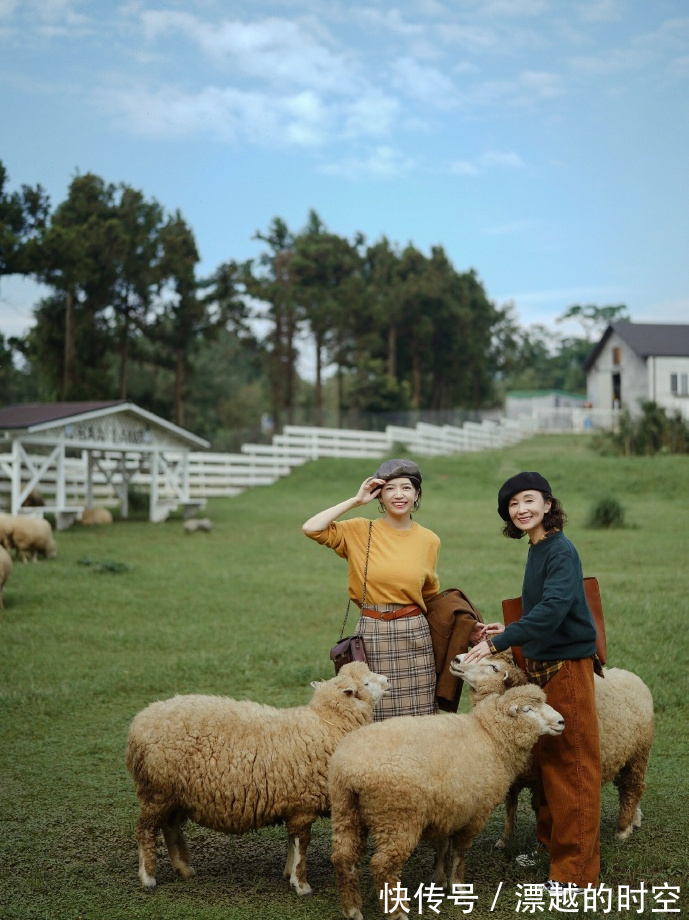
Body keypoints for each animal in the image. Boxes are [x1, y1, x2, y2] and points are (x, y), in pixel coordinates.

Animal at [123, 664, 388, 896]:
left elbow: (292, 842)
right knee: (145, 830)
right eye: (365, 683)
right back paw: (148, 877)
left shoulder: (292, 803)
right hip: (155, 791)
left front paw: (288, 874)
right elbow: (302, 844)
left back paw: (184, 869)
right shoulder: (303, 805)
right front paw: (301, 884)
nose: (387, 680)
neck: (327, 724)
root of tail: (139, 722)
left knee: (169, 827)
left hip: (174, 794)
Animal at [330, 680, 564, 916]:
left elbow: (442, 845)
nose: (561, 721)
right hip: (396, 818)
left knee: (343, 858)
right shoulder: (474, 812)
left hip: (345, 810)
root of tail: (351, 769)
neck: (490, 737)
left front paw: (439, 880)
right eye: (528, 710)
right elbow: (460, 851)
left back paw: (352, 910)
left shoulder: (447, 808)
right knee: (382, 866)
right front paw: (458, 886)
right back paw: (397, 912)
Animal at [448, 652, 652, 844]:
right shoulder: (514, 772)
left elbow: (538, 807)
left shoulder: (539, 777)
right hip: (624, 757)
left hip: (639, 754)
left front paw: (542, 841)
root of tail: (634, 677)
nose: (456, 659)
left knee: (633, 787)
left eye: (493, 667)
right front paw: (505, 839)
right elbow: (510, 805)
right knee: (628, 788)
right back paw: (635, 819)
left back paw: (624, 829)